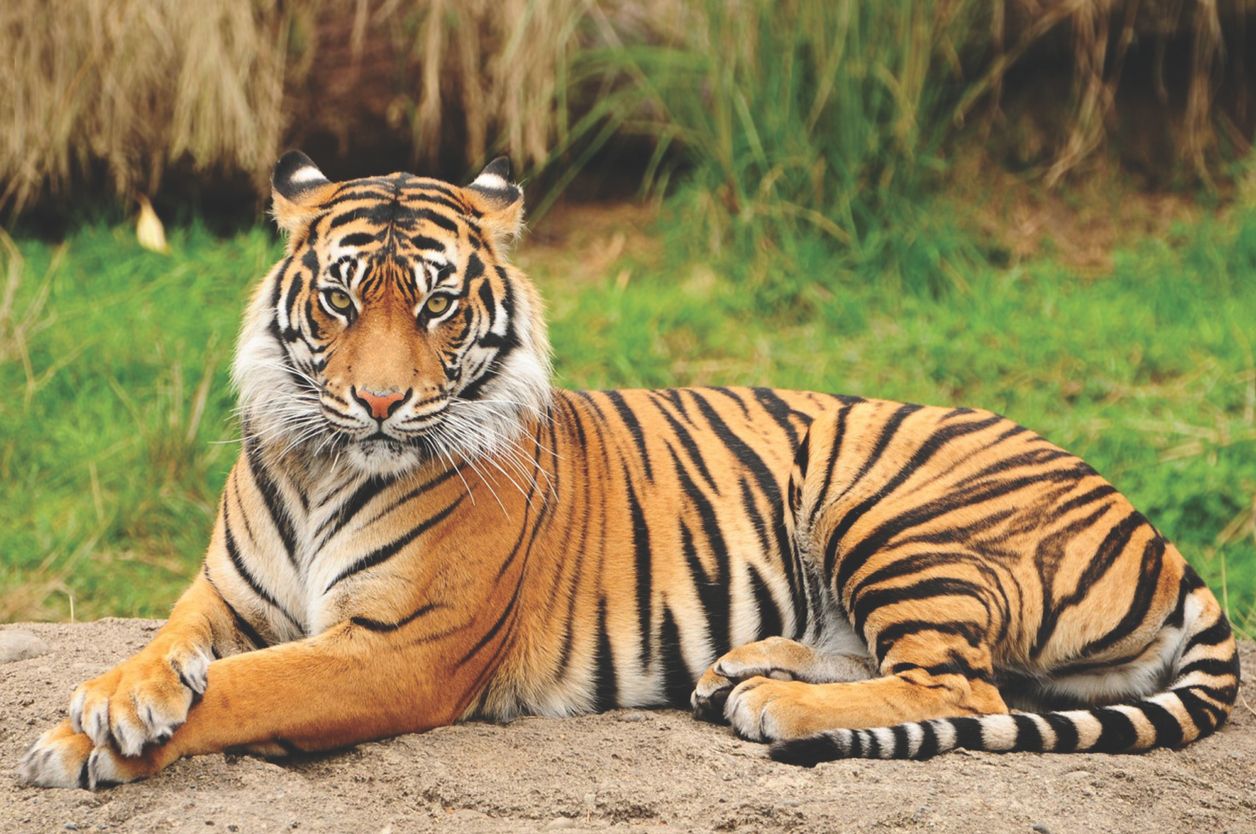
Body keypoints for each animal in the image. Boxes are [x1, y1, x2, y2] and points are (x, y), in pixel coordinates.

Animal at [19, 152, 1239, 788]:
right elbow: (170, 647)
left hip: (890, 506)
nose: (379, 403)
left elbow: (252, 686)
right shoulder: (225, 596)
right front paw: (115, 699)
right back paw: (744, 669)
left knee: (963, 684)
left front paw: (80, 742)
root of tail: (1156, 533)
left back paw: (776, 707)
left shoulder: (398, 649)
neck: (325, 465)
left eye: (437, 305)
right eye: (338, 299)